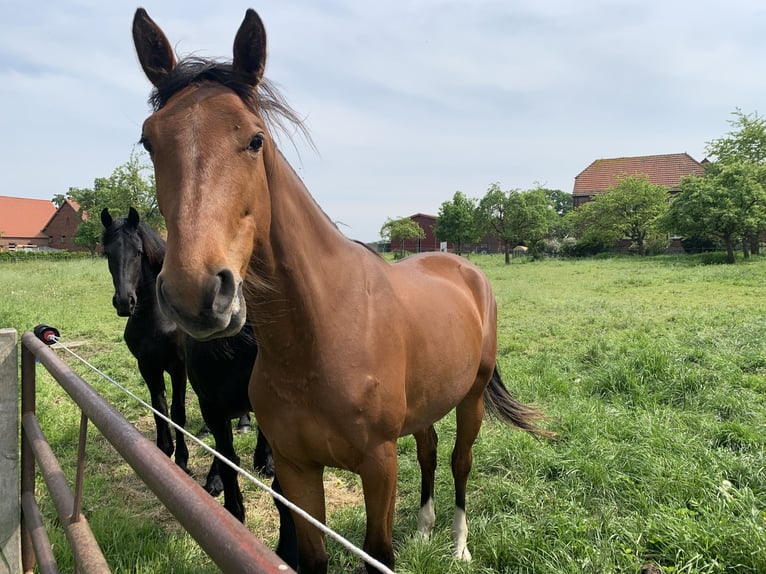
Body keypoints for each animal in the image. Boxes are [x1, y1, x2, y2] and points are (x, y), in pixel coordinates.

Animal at [100, 207, 275, 522]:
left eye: (138, 252)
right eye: (107, 252)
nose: (124, 302)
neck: (155, 318)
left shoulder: (177, 367)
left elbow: (178, 413)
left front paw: (182, 461)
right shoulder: (148, 366)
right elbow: (160, 409)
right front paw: (164, 451)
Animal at [132, 8, 550, 572]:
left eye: (255, 139)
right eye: (149, 141)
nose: (195, 292)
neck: (320, 333)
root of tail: (466, 269)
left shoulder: (378, 466)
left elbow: (379, 553)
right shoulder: (296, 471)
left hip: (472, 398)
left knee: (459, 461)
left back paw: (459, 544)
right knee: (429, 448)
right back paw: (424, 529)